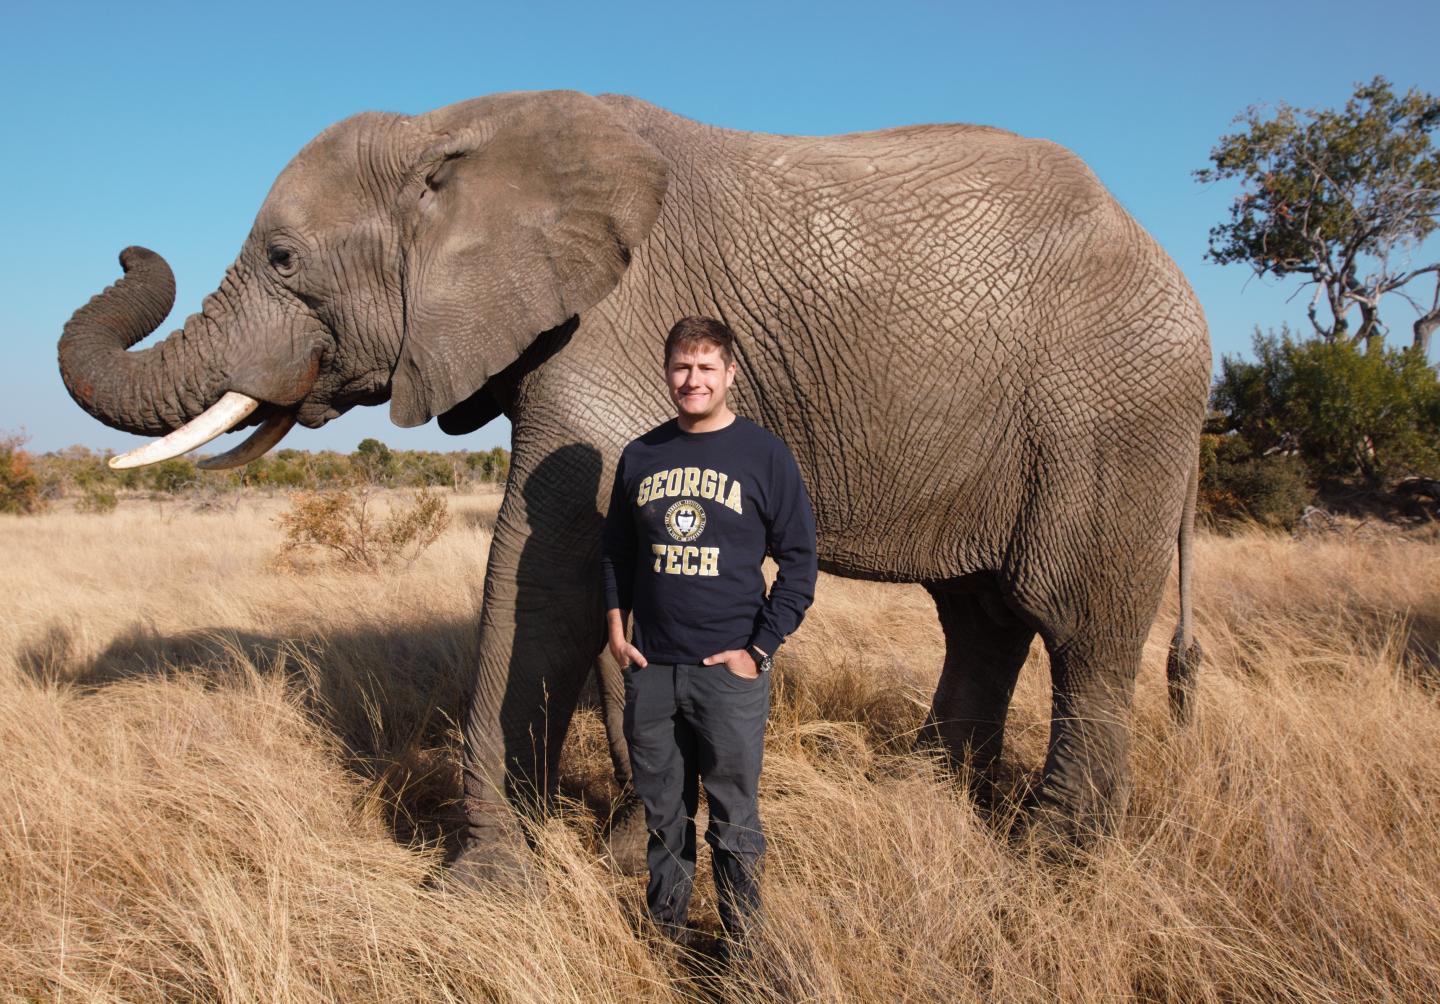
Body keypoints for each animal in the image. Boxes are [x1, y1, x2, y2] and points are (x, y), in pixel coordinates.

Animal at [57, 89, 1209, 879]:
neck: (453, 128)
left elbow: (543, 567)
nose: (125, 246)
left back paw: (1054, 857)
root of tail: (1169, 264)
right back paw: (921, 796)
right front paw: (619, 852)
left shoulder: (610, 327)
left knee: (1077, 623)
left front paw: (482, 888)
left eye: (285, 260)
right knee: (980, 615)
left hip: (1115, 412)